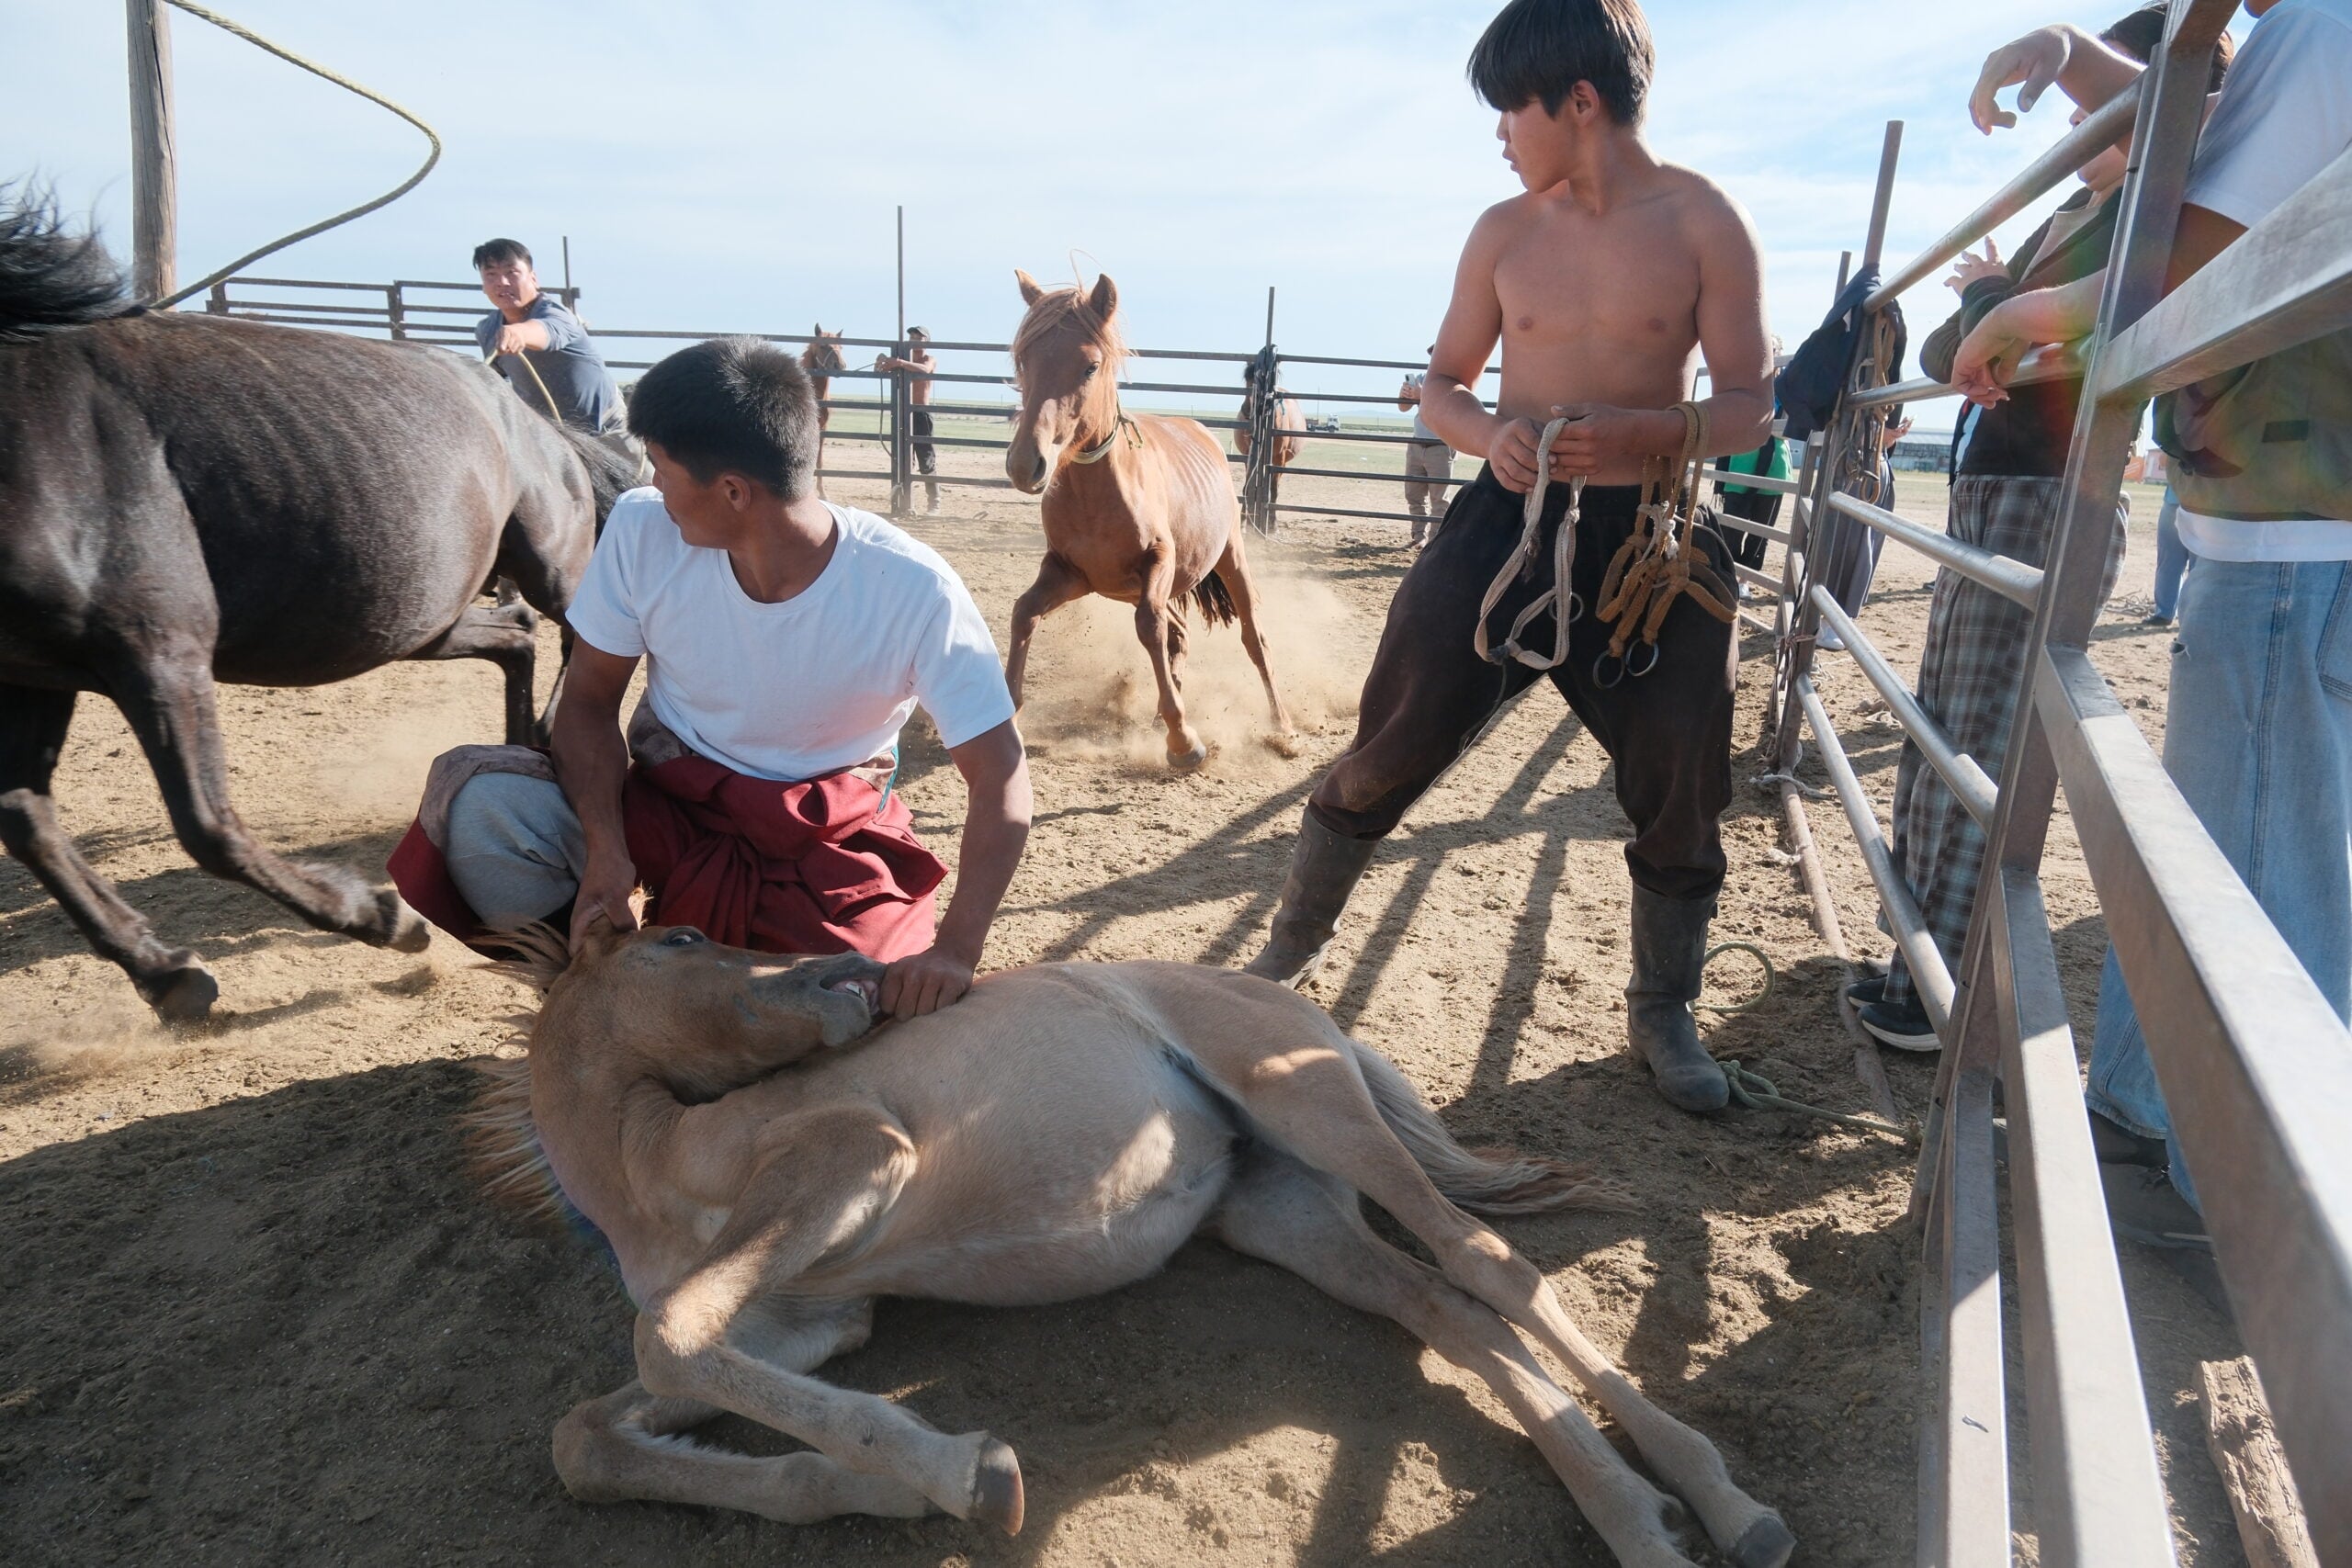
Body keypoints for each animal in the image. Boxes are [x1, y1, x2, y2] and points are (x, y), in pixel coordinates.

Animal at [0, 190, 638, 1021]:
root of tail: (541, 427)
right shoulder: (37, 672)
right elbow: (28, 821)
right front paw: (165, 972)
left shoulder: (160, 651)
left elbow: (208, 825)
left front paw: (386, 919)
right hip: (423, 620)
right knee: (518, 636)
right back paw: (519, 747)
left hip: (547, 561)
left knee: (570, 635)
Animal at [478, 919, 1797, 1568]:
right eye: (683, 939)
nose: (850, 976)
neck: (658, 1165)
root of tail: (1300, 1003)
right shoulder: (802, 1327)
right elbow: (590, 1433)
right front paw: (890, 1484)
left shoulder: (855, 1164)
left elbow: (662, 1337)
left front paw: (963, 1469)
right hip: (1286, 1213)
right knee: (1451, 1316)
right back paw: (1637, 1518)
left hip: (1308, 1105)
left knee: (1487, 1264)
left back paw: (1723, 1504)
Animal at [800, 325, 846, 498]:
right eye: (823, 346)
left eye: (841, 347)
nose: (840, 365)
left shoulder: (823, 428)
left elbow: (819, 460)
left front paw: (822, 493)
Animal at [1002, 271, 1292, 769]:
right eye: (1024, 358)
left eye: (1090, 366)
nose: (1026, 464)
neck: (1096, 494)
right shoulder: (1069, 573)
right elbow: (1024, 613)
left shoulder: (1157, 562)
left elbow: (1150, 627)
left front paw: (1183, 739)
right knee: (1180, 633)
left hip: (1230, 557)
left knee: (1253, 639)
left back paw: (1282, 725)